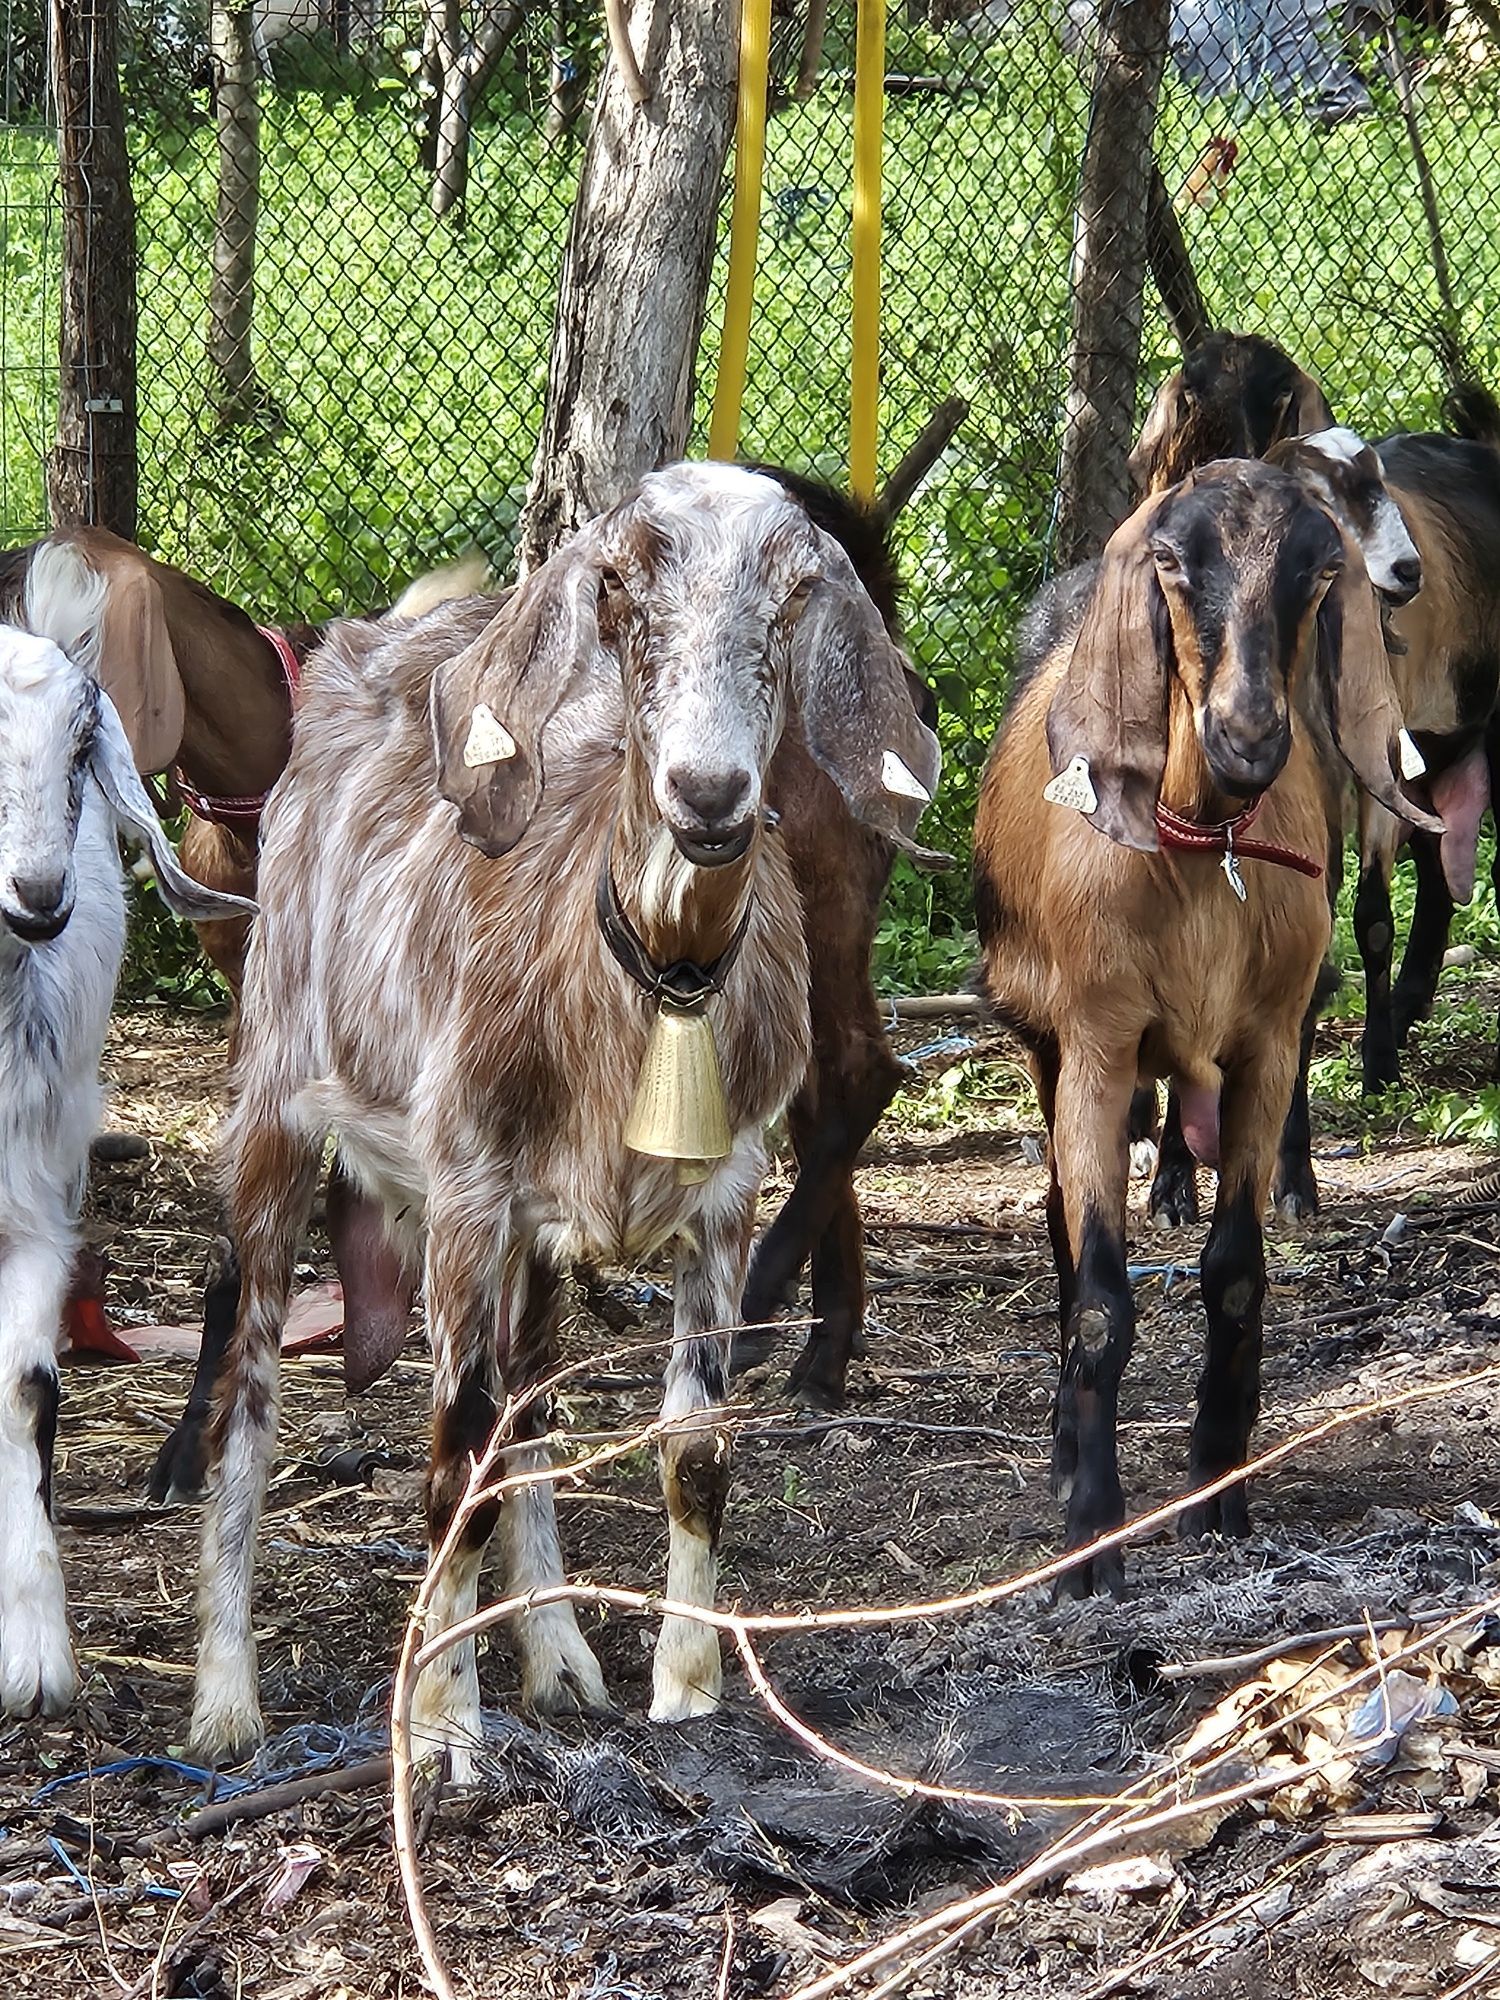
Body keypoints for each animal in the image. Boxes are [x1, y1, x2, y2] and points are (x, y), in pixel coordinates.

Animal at [185, 458, 940, 1768]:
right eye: (620, 584)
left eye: (797, 592)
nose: (707, 792)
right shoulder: (467, 1184)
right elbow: (452, 1453)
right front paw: (442, 1724)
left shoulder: (724, 1191)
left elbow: (693, 1447)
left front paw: (686, 1678)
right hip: (278, 1097)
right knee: (254, 1376)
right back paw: (228, 1698)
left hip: (535, 1225)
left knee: (533, 1390)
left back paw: (559, 1654)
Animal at [976, 458, 1448, 1592]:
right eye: (1173, 563)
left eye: (1318, 571)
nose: (1248, 737)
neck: (1198, 855)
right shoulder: (1097, 1047)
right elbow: (1098, 1297)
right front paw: (1091, 1530)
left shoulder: (1268, 1047)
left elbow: (1236, 1276)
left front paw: (1219, 1490)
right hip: (1049, 1048)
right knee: (1062, 1244)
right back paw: (1066, 1453)